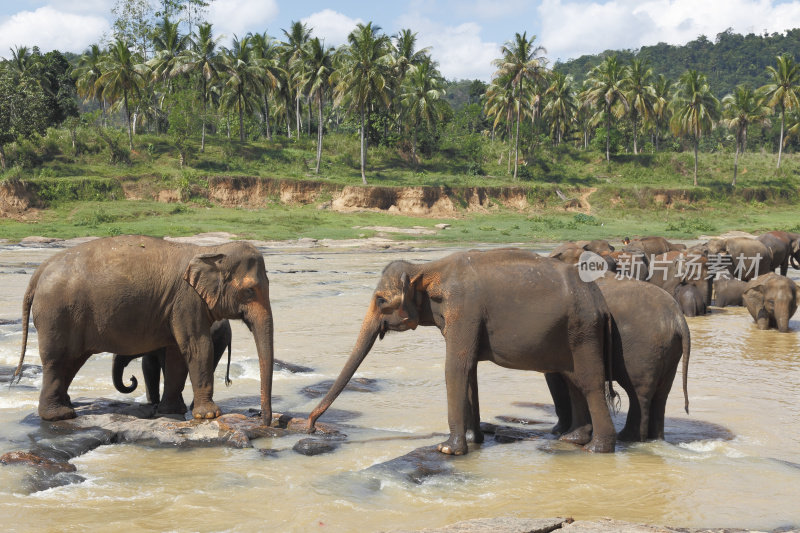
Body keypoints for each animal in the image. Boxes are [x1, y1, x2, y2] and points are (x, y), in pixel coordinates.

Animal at [11, 235, 276, 422]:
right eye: (250, 290)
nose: (262, 419)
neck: (210, 250)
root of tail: (39, 272)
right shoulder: (186, 301)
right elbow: (197, 346)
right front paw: (209, 415)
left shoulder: (175, 307)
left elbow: (177, 352)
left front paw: (172, 411)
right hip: (57, 314)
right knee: (58, 360)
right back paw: (59, 415)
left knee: (72, 360)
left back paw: (66, 407)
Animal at [306, 248, 620, 454]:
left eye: (381, 300)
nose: (311, 426)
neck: (427, 269)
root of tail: (600, 302)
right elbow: (469, 371)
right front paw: (473, 438)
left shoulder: (464, 309)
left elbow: (456, 367)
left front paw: (448, 449)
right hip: (572, 332)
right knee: (573, 380)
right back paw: (572, 440)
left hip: (583, 331)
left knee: (589, 382)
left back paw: (597, 449)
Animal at [548, 274, 692, 440]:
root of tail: (678, 317)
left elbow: (557, 381)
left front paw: (557, 432)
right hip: (670, 351)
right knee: (661, 394)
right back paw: (654, 438)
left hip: (642, 350)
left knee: (637, 392)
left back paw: (627, 438)